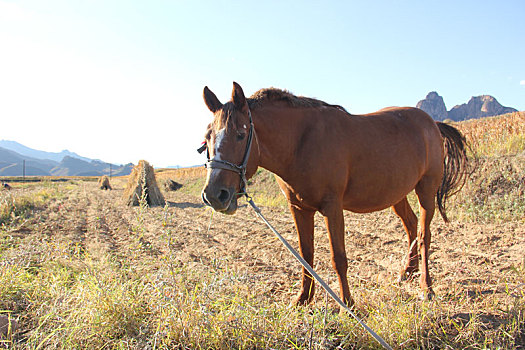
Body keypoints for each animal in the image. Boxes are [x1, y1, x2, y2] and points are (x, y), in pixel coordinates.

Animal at [200, 82, 466, 306]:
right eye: (207, 137)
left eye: (241, 134)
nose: (214, 195)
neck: (302, 142)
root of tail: (432, 123)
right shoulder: (299, 208)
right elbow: (306, 254)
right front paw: (303, 299)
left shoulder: (332, 207)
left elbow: (339, 258)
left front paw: (347, 305)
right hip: (397, 194)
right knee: (411, 226)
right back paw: (406, 273)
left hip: (426, 190)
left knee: (423, 235)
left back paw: (426, 288)